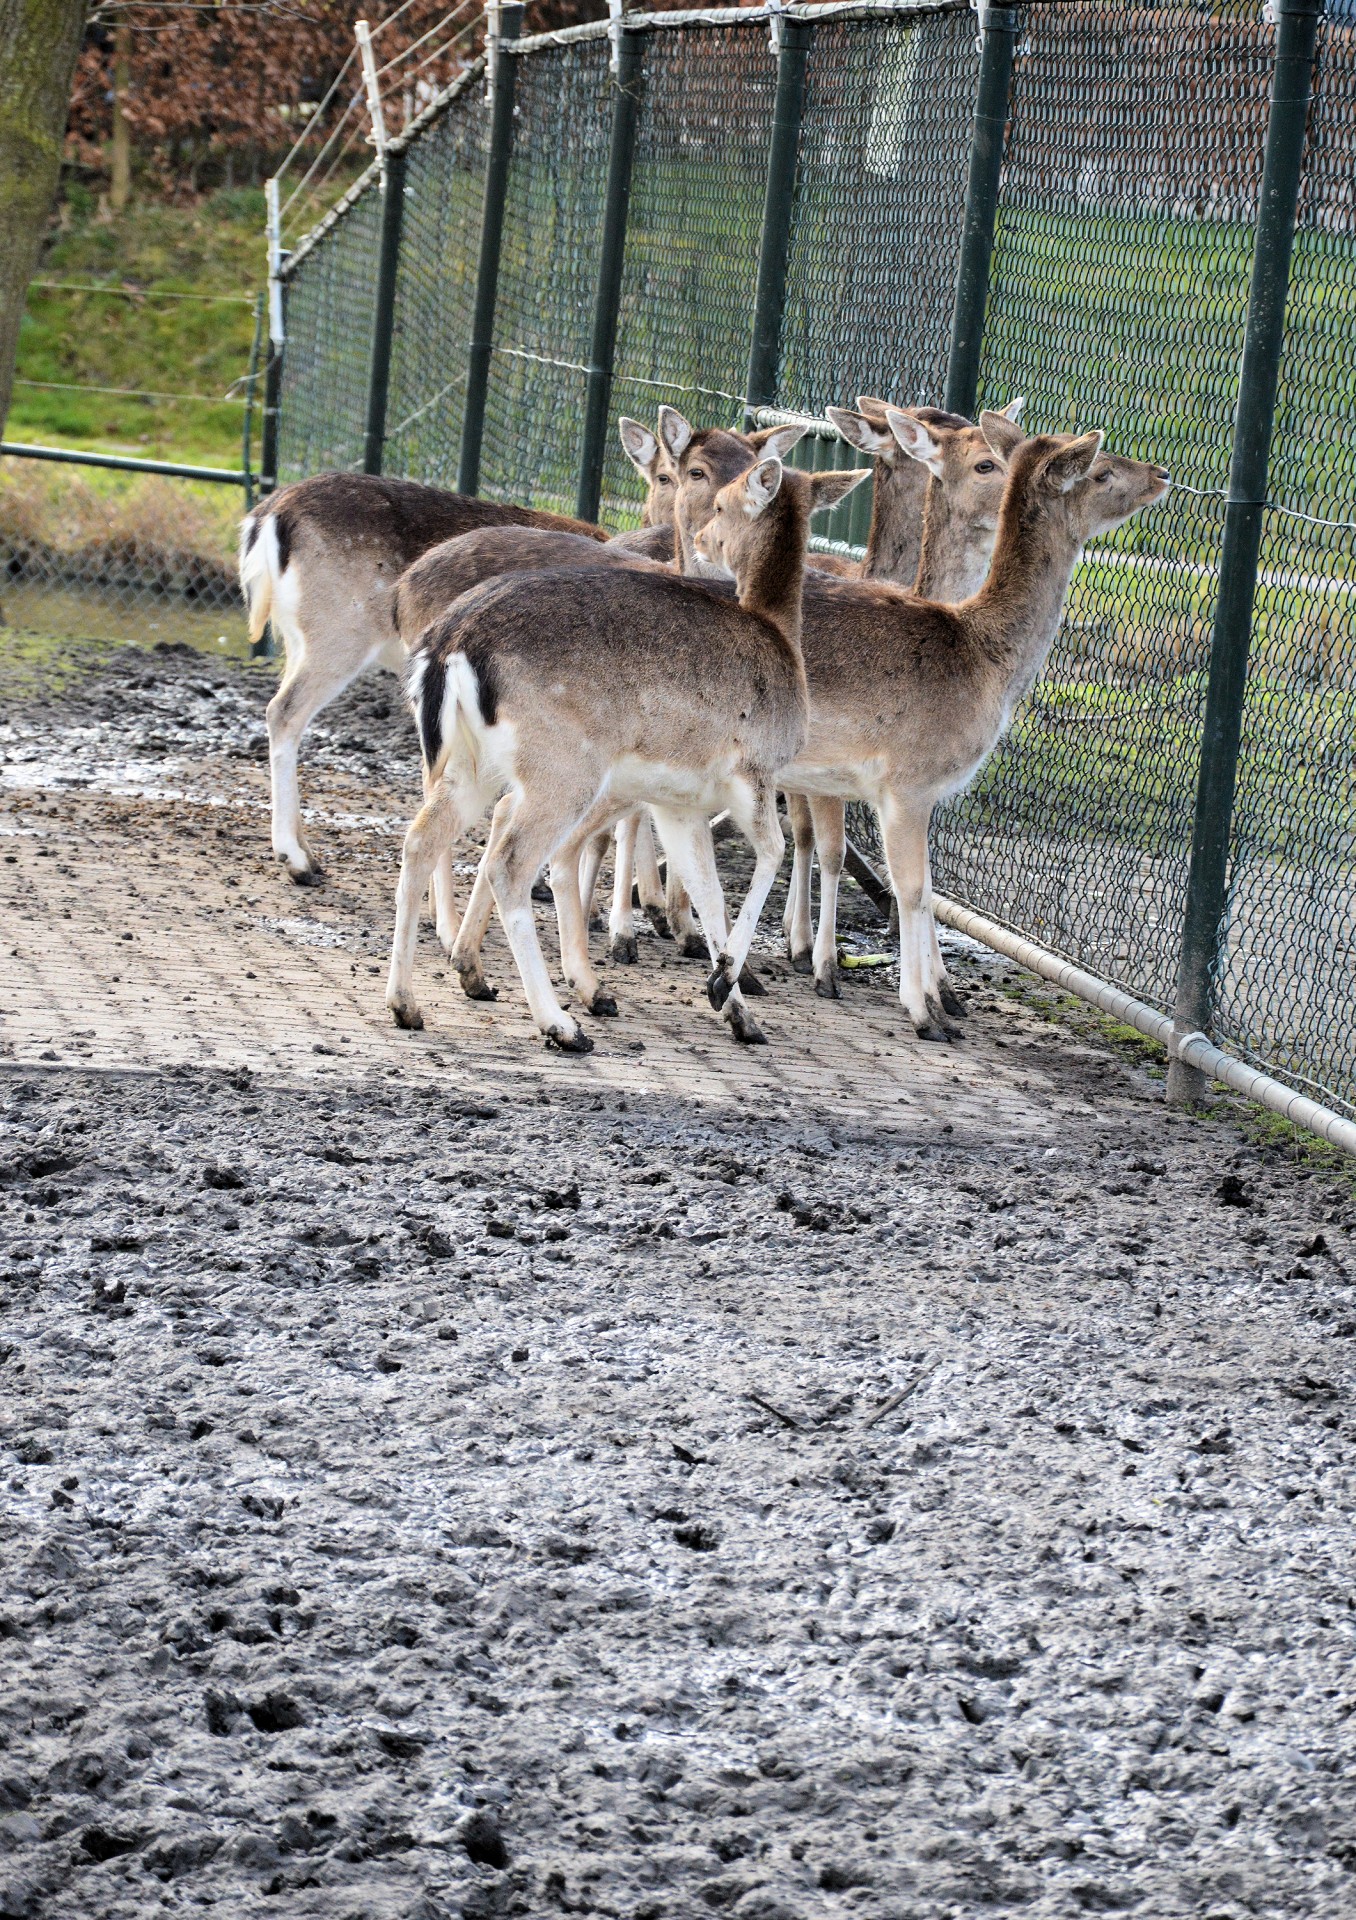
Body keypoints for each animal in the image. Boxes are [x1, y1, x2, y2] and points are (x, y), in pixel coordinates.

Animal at [382, 453, 868, 1052]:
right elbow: (771, 853)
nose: (701, 540)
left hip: (469, 765)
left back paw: (407, 1004)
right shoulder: (751, 769)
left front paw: (737, 1010)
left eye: (723, 504)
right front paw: (726, 978)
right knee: (509, 864)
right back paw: (560, 1024)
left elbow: (708, 890)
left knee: (421, 838)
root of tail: (448, 644)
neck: (781, 636)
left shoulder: (678, 801)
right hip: (562, 768)